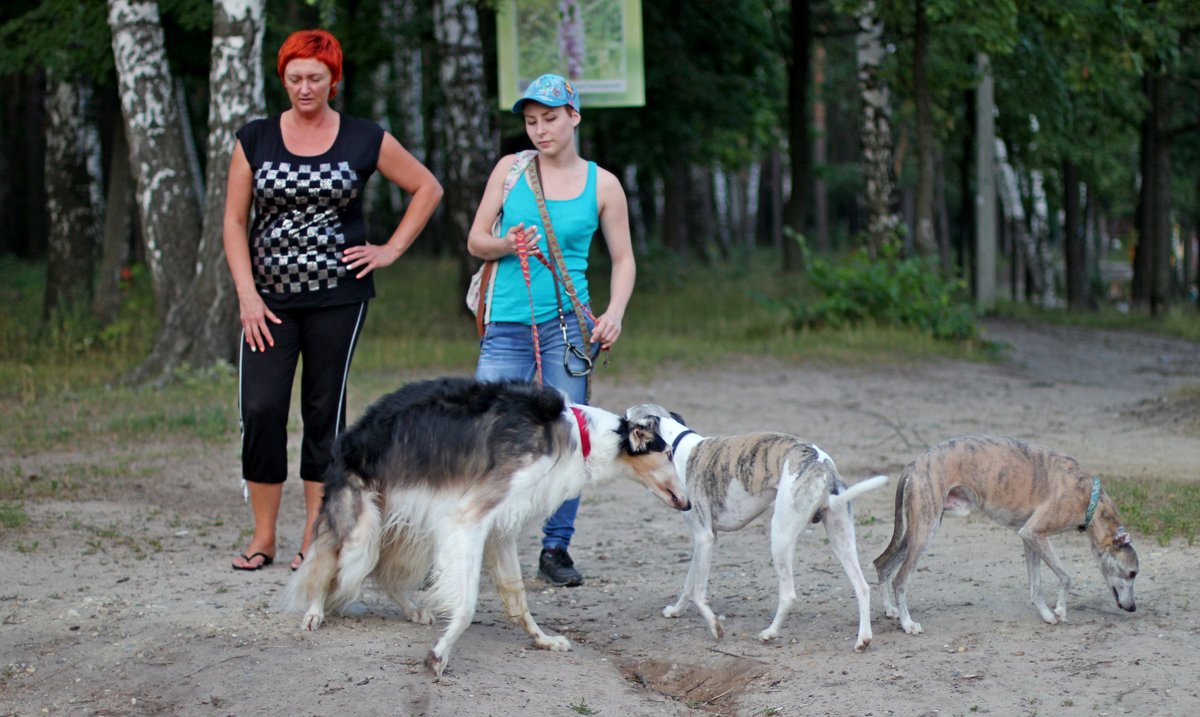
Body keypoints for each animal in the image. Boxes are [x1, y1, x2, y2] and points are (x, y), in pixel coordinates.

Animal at [282, 378, 691, 676]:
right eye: (669, 453)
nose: (688, 502)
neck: (582, 435)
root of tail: (345, 440)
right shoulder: (469, 520)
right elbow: (465, 606)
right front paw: (438, 655)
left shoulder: (500, 528)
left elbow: (518, 596)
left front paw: (543, 640)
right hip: (362, 534)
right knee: (329, 567)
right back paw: (315, 612)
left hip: (408, 528)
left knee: (383, 573)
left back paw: (412, 609)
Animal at [624, 407, 888, 657]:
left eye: (627, 418)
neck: (678, 446)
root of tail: (822, 466)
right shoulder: (704, 538)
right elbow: (689, 583)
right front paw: (676, 610)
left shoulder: (705, 538)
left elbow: (699, 593)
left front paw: (714, 627)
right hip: (841, 537)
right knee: (862, 587)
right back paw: (863, 639)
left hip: (780, 535)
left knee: (788, 594)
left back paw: (769, 633)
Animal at [873, 436, 1142, 637]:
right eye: (1132, 573)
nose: (1132, 608)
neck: (1089, 498)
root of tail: (915, 463)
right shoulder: (1035, 533)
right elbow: (1066, 577)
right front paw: (1060, 611)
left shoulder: (1029, 538)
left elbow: (1035, 586)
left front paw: (1047, 615)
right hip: (925, 532)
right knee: (900, 580)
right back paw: (908, 624)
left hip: (917, 530)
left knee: (881, 564)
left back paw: (890, 610)